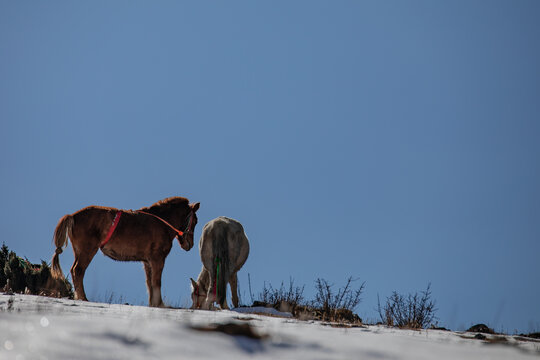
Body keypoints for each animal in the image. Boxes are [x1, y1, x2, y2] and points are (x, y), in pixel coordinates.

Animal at [50, 197, 200, 306]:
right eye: (195, 221)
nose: (189, 244)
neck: (162, 223)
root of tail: (72, 216)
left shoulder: (147, 262)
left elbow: (149, 283)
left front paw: (153, 304)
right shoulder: (158, 259)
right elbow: (157, 282)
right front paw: (160, 304)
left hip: (79, 252)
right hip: (87, 251)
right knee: (78, 271)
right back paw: (83, 298)